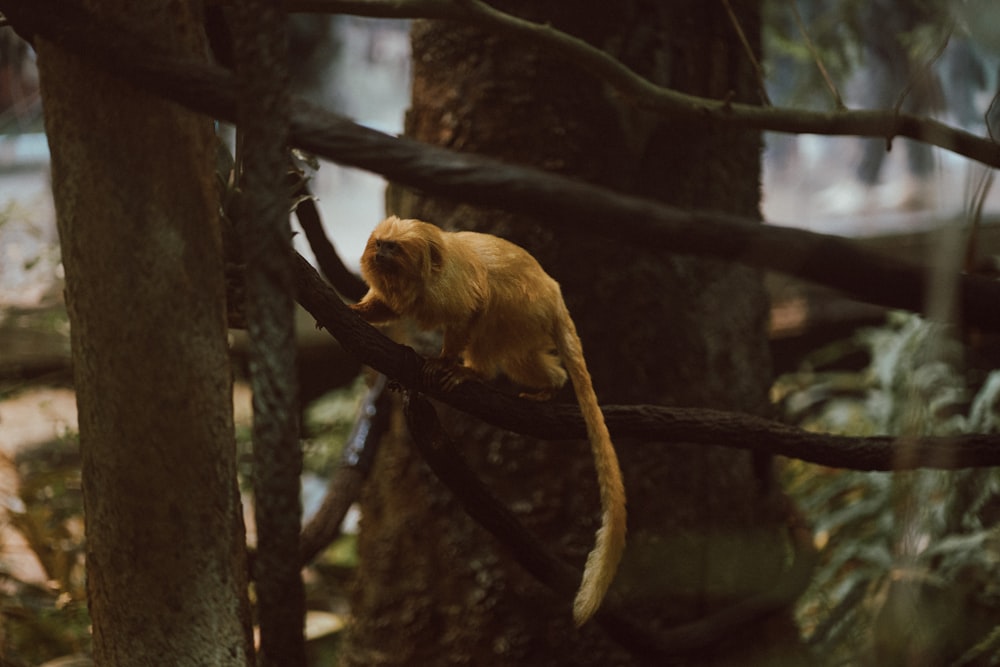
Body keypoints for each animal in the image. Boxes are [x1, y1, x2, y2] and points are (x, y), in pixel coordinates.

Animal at [352, 215, 624, 628]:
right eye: (379, 244)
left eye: (393, 249)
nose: (380, 253)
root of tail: (555, 294)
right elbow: (388, 307)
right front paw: (356, 311)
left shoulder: (453, 291)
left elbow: (468, 313)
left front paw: (443, 362)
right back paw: (545, 385)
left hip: (524, 310)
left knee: (491, 323)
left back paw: (477, 374)